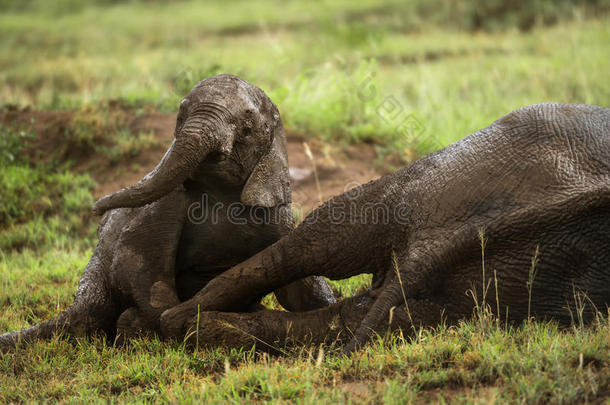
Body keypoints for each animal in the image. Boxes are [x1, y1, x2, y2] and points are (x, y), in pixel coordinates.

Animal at [0, 76, 332, 350]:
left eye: (248, 123)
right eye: (181, 113)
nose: (97, 208)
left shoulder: (277, 213)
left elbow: (296, 286)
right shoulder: (163, 207)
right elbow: (143, 262)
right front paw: (177, 321)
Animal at [160, 103, 608, 350]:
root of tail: (426, 248)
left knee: (356, 313)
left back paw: (185, 324)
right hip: (443, 174)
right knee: (320, 243)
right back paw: (177, 317)